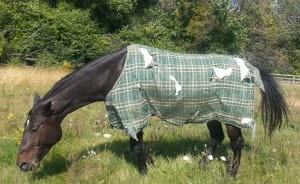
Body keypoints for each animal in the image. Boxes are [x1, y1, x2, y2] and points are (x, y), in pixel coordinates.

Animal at [16, 44, 288, 177]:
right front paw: (151, 164)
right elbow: (138, 145)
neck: (114, 73)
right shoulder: (131, 113)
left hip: (231, 113)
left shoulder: (133, 111)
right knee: (216, 138)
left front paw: (145, 171)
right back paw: (201, 165)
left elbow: (137, 146)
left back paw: (230, 174)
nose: (22, 164)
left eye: (36, 127)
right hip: (211, 112)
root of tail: (249, 67)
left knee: (235, 142)